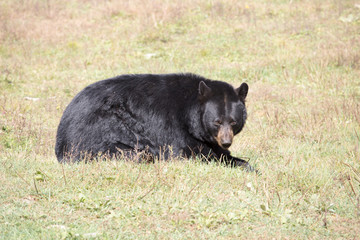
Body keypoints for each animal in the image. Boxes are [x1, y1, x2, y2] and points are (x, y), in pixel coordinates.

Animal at [55, 73, 253, 171]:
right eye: (216, 122)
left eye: (233, 122)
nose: (226, 141)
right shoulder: (171, 127)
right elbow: (187, 153)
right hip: (99, 133)